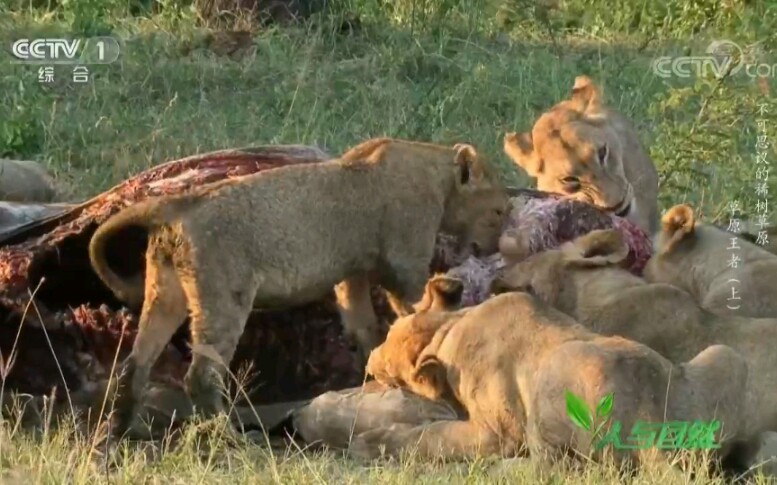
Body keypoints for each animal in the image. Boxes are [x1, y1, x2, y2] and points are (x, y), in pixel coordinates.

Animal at [88, 137, 510, 438]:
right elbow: (412, 309)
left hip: (165, 292)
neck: (436, 172)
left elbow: (363, 326)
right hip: (225, 293)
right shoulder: (404, 262)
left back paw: (124, 430)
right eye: (499, 211)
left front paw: (370, 374)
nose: (496, 246)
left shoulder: (352, 274)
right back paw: (233, 439)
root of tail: (178, 203)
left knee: (135, 362)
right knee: (202, 375)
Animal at [348, 276, 748, 468]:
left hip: (552, 388)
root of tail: (648, 422)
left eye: (388, 369)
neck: (447, 329)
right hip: (725, 356)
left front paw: (368, 443)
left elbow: (430, 436)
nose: (368, 362)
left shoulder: (496, 433)